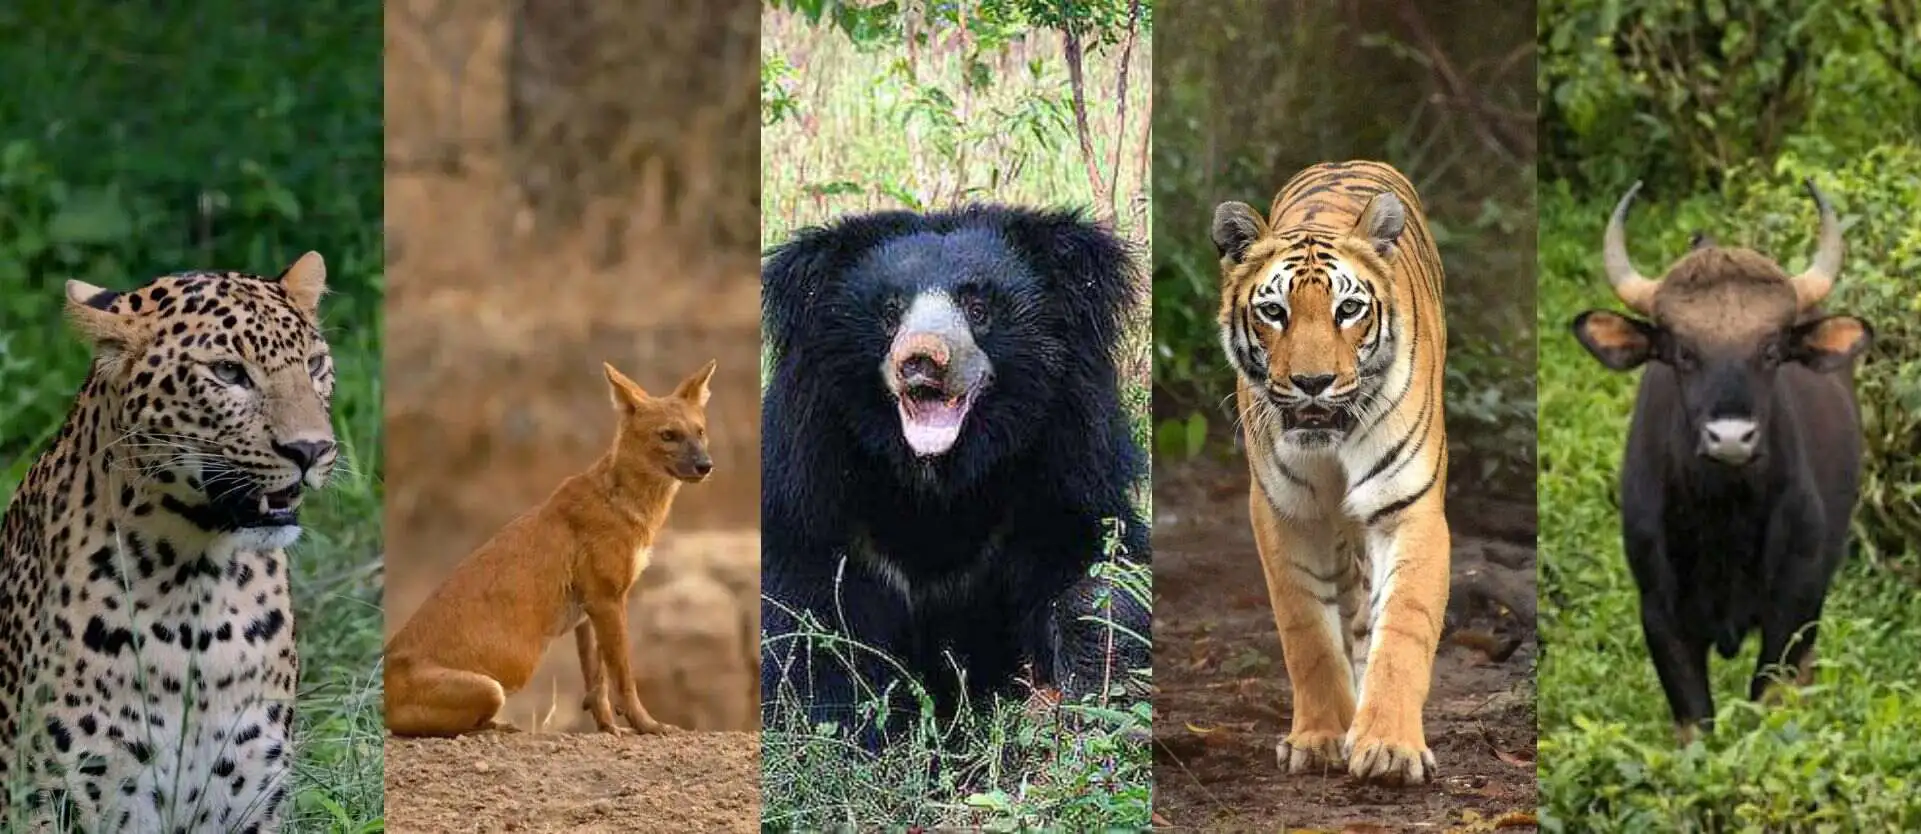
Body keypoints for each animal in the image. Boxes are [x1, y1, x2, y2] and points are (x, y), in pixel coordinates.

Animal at [1210, 159, 1450, 786]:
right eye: (1275, 311)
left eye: (1349, 310)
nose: (1313, 383)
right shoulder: (1284, 512)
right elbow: (1308, 632)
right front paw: (1319, 738)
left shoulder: (1408, 507)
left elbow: (1403, 626)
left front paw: (1389, 747)